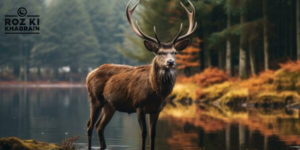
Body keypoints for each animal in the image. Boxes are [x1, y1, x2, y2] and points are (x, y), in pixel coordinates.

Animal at [85, 0, 196, 149]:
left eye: (174, 52)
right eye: (159, 52)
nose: (171, 62)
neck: (156, 93)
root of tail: (89, 74)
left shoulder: (156, 109)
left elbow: (153, 134)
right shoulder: (139, 105)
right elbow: (143, 133)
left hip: (110, 105)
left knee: (99, 126)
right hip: (95, 99)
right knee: (89, 126)